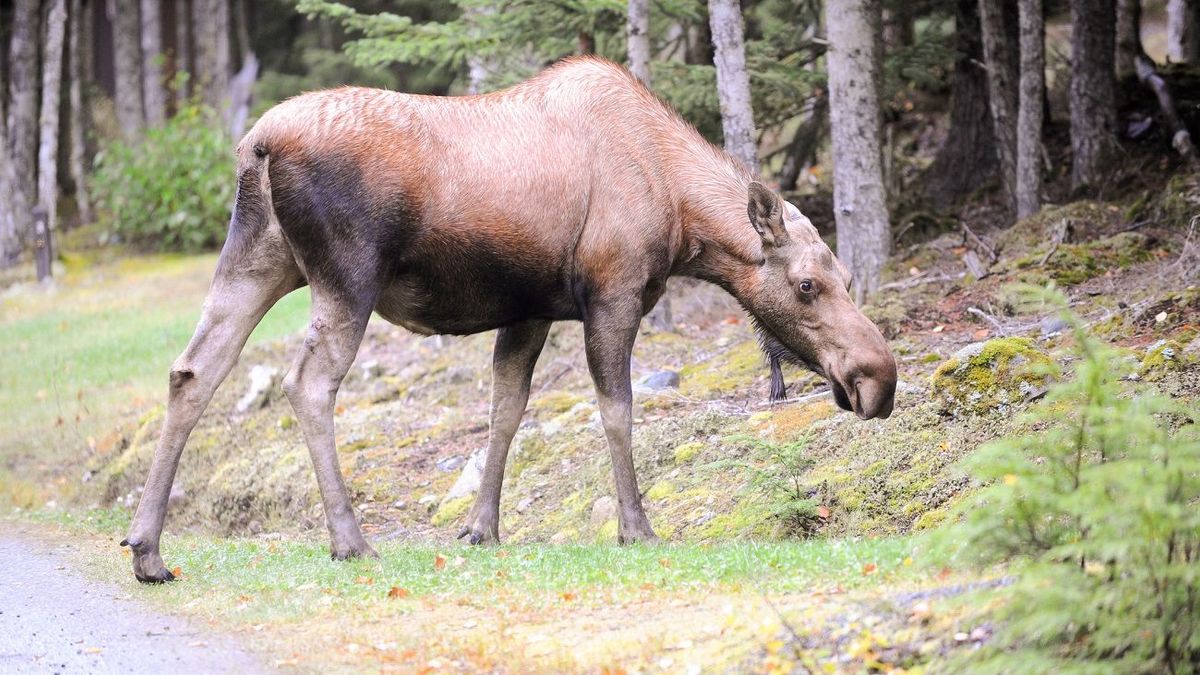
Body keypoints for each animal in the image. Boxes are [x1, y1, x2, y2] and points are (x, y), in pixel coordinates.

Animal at [120, 57, 897, 583]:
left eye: (846, 278)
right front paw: (636, 526)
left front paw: (481, 527)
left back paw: (148, 549)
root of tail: (257, 145)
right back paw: (350, 539)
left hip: (259, 257)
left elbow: (505, 410)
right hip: (346, 275)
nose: (877, 379)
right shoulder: (611, 294)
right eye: (806, 285)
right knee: (307, 384)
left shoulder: (529, 311)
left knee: (193, 370)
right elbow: (617, 410)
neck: (682, 217)